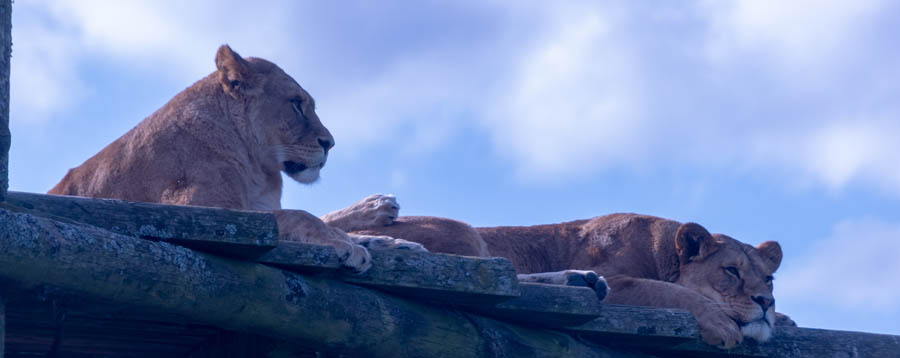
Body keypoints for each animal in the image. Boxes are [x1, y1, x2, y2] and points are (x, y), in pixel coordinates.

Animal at [51, 45, 424, 274]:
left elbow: (316, 218)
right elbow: (298, 216)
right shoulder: (196, 210)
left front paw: (393, 241)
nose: (329, 144)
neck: (259, 169)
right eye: (296, 104)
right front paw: (350, 245)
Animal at [352, 211, 796, 348]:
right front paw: (723, 324)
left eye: (769, 279)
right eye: (731, 271)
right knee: (495, 275)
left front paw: (783, 318)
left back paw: (580, 282)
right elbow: (667, 291)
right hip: (463, 232)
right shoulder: (624, 282)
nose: (765, 302)